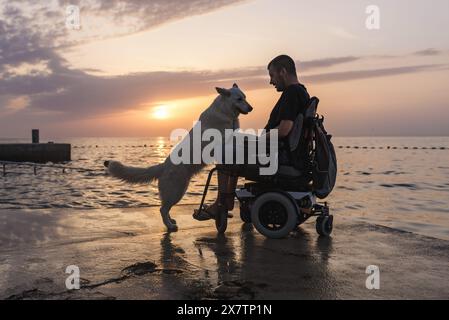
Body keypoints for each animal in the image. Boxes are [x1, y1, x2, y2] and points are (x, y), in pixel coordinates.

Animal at [104, 84, 252, 231]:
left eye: (245, 97)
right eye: (239, 99)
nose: (251, 108)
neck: (225, 111)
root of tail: (163, 167)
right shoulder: (222, 139)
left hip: (179, 190)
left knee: (165, 209)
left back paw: (171, 221)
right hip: (176, 192)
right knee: (162, 209)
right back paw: (170, 226)